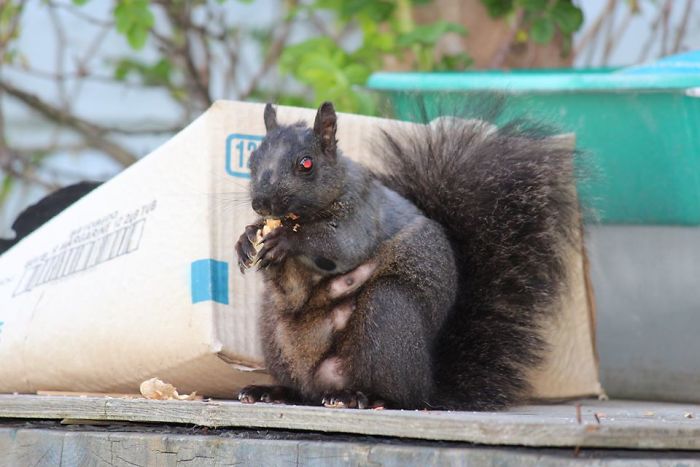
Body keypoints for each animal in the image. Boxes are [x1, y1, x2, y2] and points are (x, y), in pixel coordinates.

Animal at [235, 101, 581, 410]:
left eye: (306, 164)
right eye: (252, 160)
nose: (261, 202)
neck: (305, 215)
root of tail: (430, 384)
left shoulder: (362, 214)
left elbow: (341, 245)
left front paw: (285, 240)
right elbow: (291, 294)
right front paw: (247, 238)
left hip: (387, 313)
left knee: (402, 395)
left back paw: (366, 397)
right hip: (274, 335)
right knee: (303, 389)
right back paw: (272, 391)